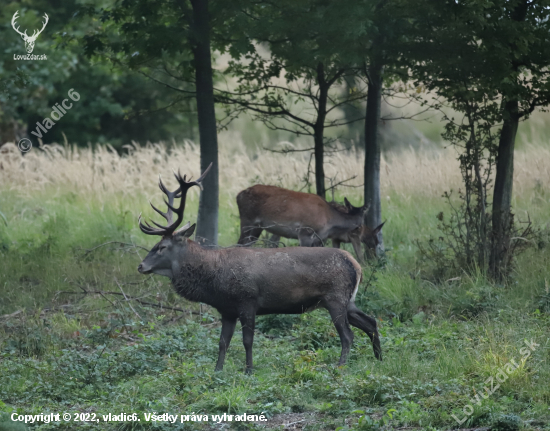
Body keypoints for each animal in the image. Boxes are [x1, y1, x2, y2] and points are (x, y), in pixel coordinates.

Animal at [237, 186, 388, 264]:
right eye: (362, 221)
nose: (359, 229)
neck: (329, 219)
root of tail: (238, 195)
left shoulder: (320, 238)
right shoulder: (305, 232)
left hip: (256, 228)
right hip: (247, 221)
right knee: (239, 244)